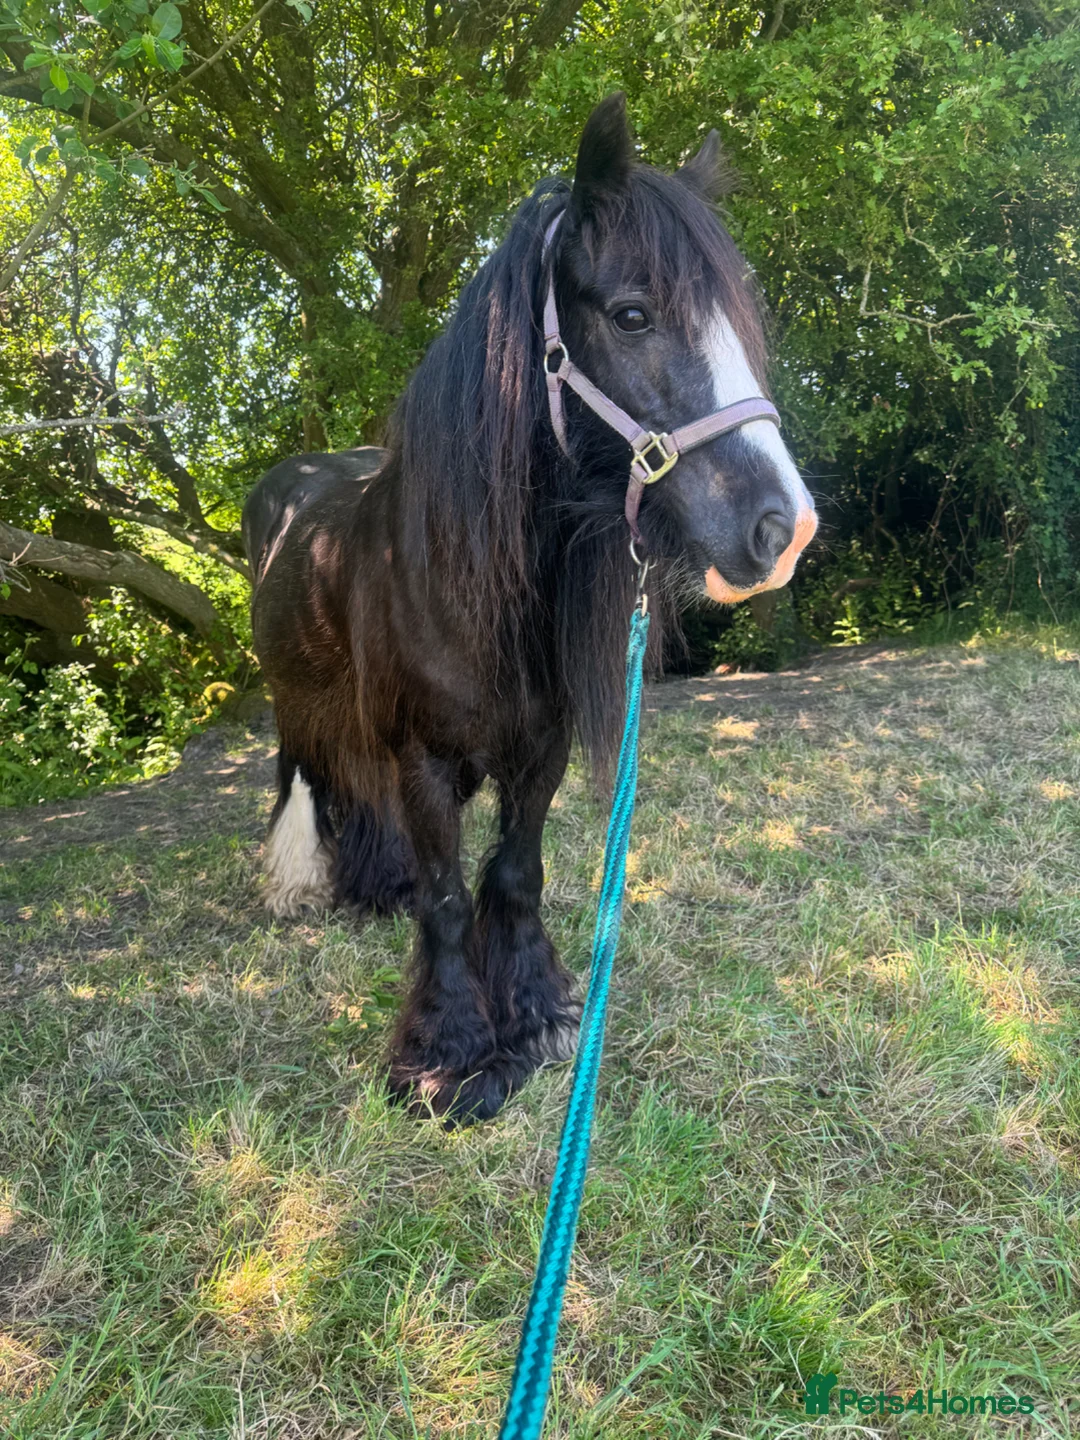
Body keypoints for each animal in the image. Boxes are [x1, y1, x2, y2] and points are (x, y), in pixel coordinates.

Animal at [243, 93, 817, 1124]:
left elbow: (512, 873)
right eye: (631, 314)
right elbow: (445, 897)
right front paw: (448, 1058)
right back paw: (307, 887)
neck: (460, 576)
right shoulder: (423, 759)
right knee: (303, 773)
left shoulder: (538, 745)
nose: (784, 530)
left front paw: (540, 1017)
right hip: (292, 697)